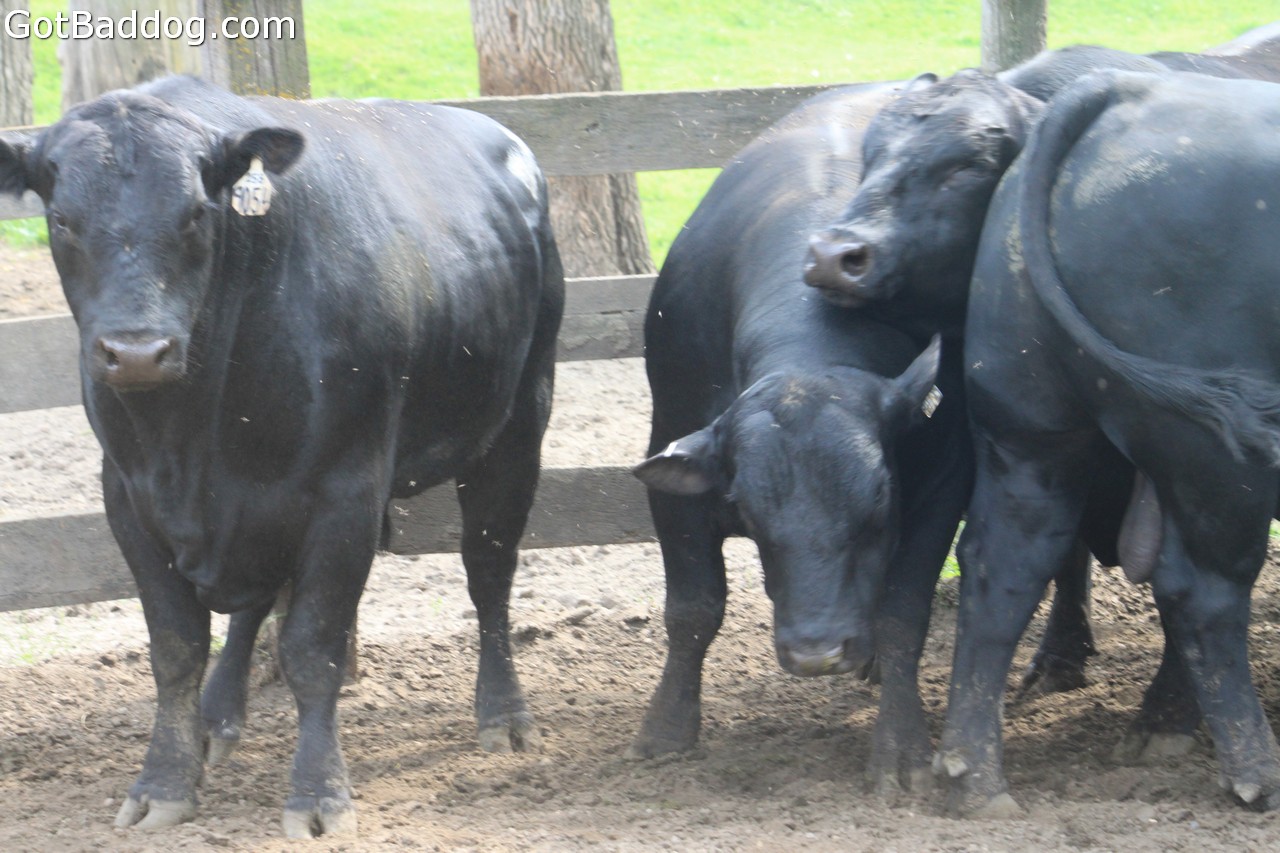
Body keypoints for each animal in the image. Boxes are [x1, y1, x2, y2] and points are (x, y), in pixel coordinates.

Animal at [0, 76, 563, 837]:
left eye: (196, 214)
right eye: (61, 219)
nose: (137, 352)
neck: (192, 434)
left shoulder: (346, 492)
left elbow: (312, 648)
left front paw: (319, 794)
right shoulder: (129, 497)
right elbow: (174, 649)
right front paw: (164, 780)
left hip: (517, 422)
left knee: (489, 567)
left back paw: (503, 712)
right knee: (254, 602)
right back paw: (217, 718)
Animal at [627, 81, 974, 795]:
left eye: (878, 507)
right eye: (751, 514)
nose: (817, 652)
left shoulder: (940, 485)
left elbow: (902, 614)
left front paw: (900, 746)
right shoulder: (676, 471)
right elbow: (693, 609)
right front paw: (666, 729)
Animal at [938, 70, 1280, 816]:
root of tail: (1126, 86)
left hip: (1029, 431)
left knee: (1001, 569)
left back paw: (974, 773)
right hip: (1222, 459)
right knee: (1204, 593)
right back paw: (1255, 770)